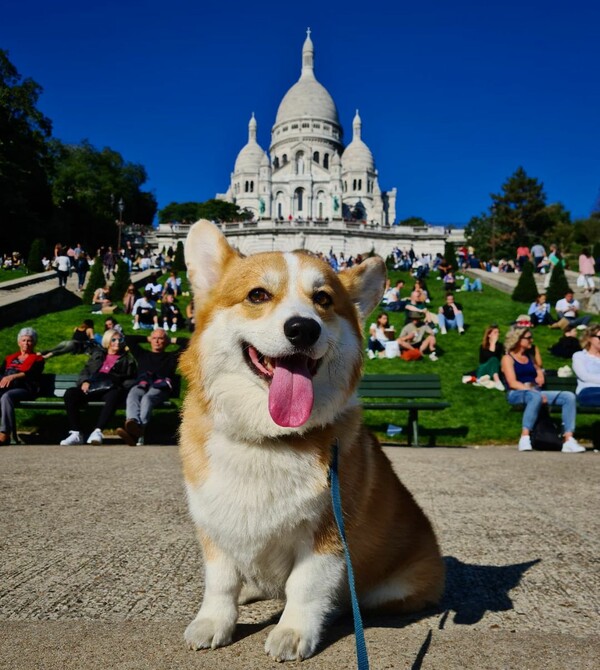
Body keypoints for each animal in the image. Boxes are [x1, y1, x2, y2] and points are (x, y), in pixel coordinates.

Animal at [180, 220, 442, 660]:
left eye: (323, 299)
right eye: (257, 295)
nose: (303, 328)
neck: (269, 440)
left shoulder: (328, 534)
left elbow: (303, 587)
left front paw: (292, 634)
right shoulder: (214, 526)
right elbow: (221, 583)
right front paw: (213, 623)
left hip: (393, 587)